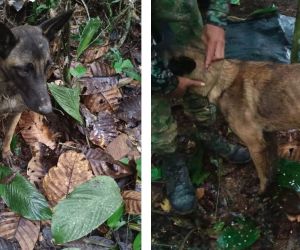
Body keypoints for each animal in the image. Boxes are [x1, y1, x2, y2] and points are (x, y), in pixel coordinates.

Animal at [0, 10, 72, 163]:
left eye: (48, 65)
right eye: (24, 70)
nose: (47, 110)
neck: (10, 88)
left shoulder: (16, 113)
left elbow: (9, 134)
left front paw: (5, 151)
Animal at [168, 46, 300, 193]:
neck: (220, 80)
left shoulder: (256, 145)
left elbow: (263, 175)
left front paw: (261, 192)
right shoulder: (269, 136)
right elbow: (272, 166)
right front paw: (272, 185)